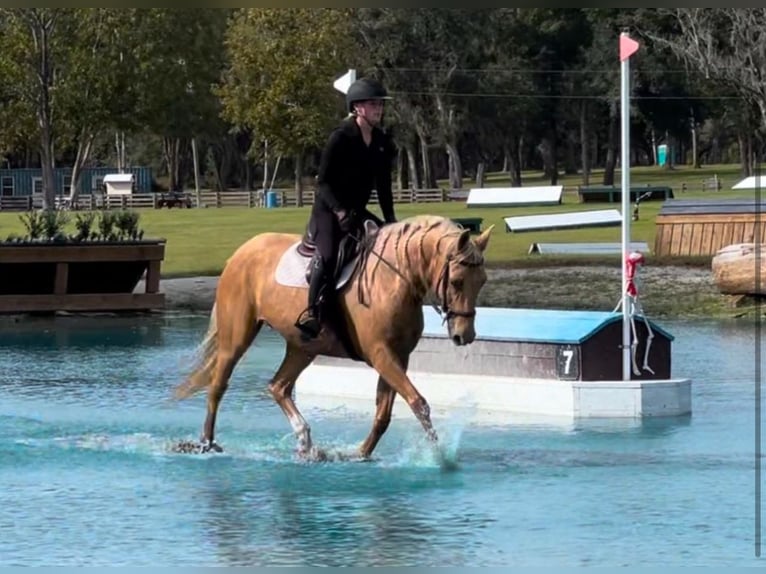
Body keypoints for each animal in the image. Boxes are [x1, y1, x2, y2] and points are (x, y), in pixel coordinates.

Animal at [173, 216, 496, 464]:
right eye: (456, 281)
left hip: (303, 347)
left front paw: (360, 454)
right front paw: (440, 457)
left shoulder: (397, 358)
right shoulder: (382, 355)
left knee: (279, 387)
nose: (465, 335)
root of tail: (241, 251)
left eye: (481, 281)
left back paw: (307, 444)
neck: (394, 280)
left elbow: (383, 414)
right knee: (218, 385)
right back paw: (207, 444)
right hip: (237, 337)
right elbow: (418, 403)